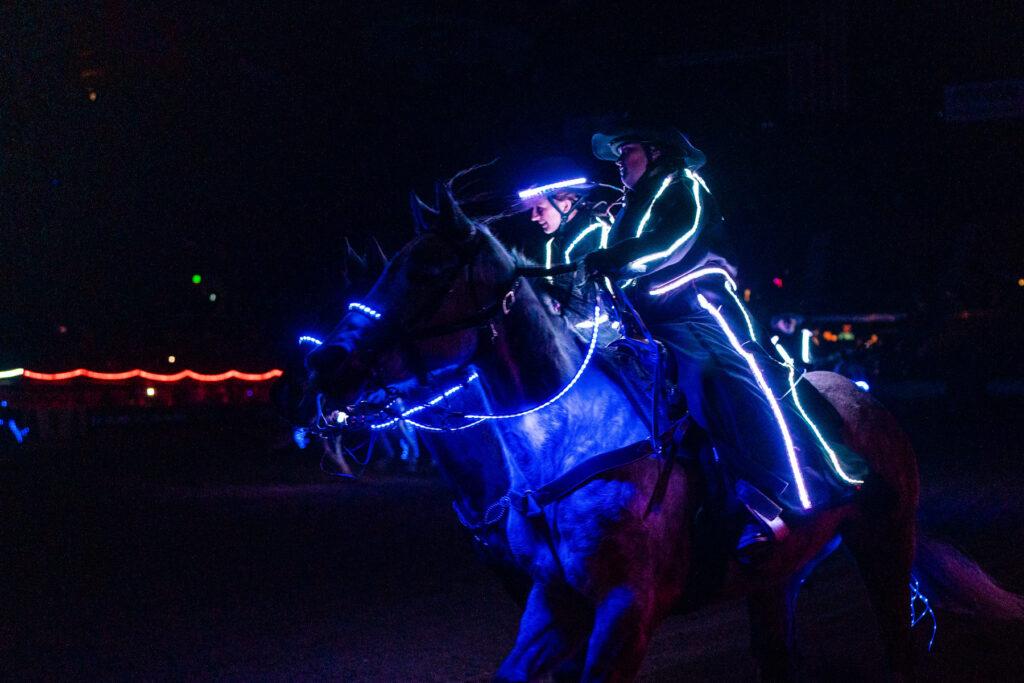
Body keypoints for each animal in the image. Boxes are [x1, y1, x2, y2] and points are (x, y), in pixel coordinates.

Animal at [299, 184, 1019, 679]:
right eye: (376, 275)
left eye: (424, 272)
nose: (325, 362)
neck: (567, 448)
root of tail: (865, 405)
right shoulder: (550, 601)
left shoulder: (626, 609)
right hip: (776, 580)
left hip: (884, 546)